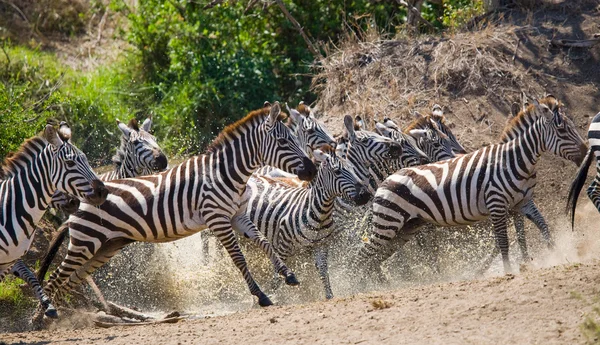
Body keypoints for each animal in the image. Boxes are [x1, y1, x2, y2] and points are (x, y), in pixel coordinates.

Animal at [0, 123, 108, 318]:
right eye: (70, 163)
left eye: (86, 159)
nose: (102, 192)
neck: (10, 208)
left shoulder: (9, 260)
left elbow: (29, 274)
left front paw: (47, 306)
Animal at [44, 101, 316, 306]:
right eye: (283, 142)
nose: (312, 170)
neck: (224, 173)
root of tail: (81, 201)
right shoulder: (217, 220)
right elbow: (239, 258)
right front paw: (261, 296)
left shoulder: (237, 215)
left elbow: (264, 241)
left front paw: (288, 274)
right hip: (86, 243)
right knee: (56, 278)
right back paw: (46, 317)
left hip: (105, 246)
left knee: (70, 279)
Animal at [234, 145, 370, 298]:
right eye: (337, 171)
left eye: (353, 169)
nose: (365, 195)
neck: (320, 213)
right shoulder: (283, 245)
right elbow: (278, 275)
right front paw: (274, 295)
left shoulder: (321, 245)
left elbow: (323, 271)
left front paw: (329, 296)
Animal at [358, 95, 588, 276]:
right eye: (562, 130)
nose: (587, 153)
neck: (515, 159)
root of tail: (384, 181)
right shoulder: (497, 205)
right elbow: (503, 242)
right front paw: (508, 271)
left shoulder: (521, 203)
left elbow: (539, 230)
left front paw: (554, 256)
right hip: (388, 223)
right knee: (364, 256)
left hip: (406, 226)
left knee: (376, 257)